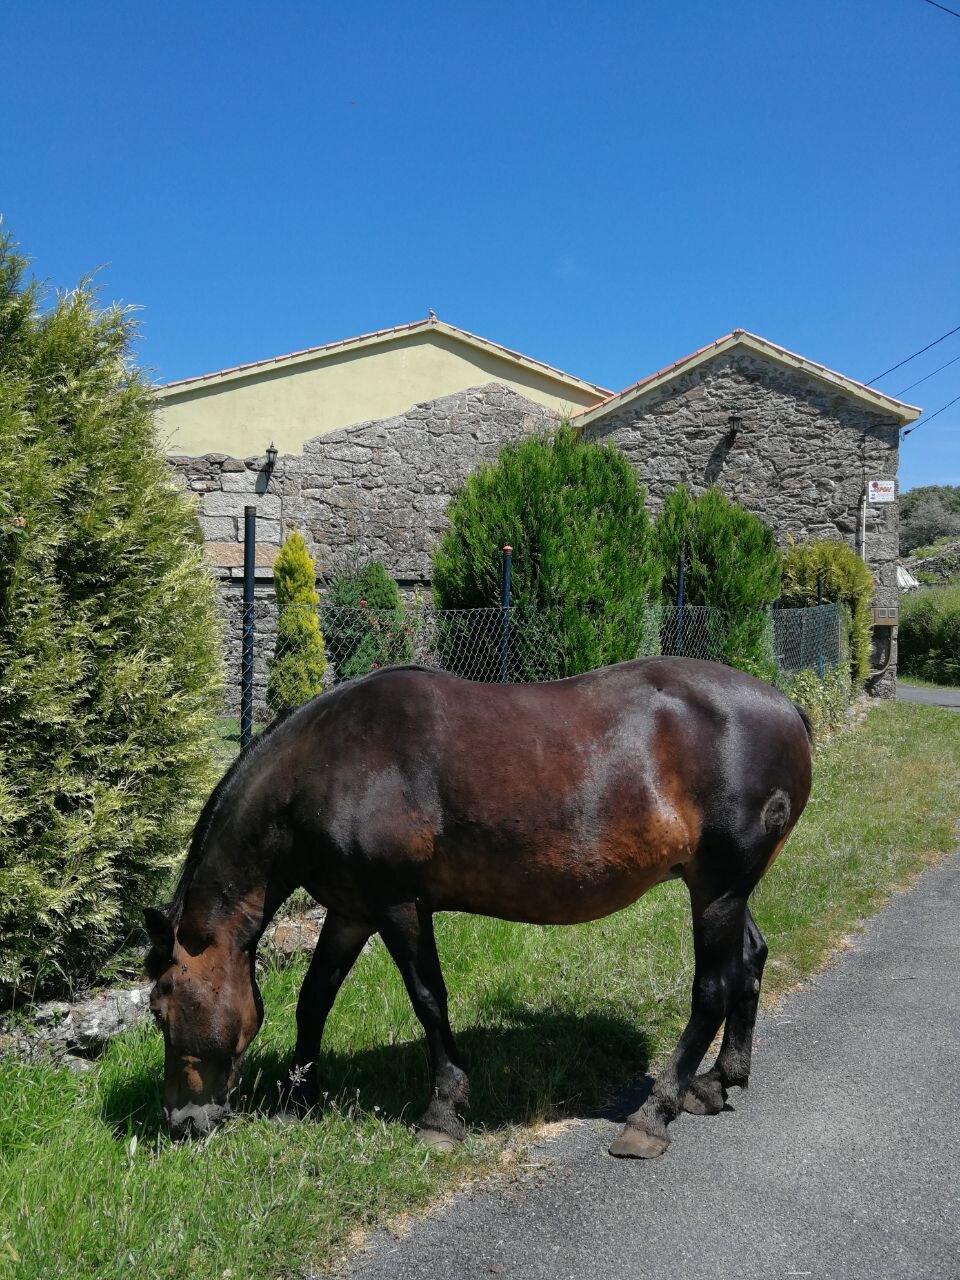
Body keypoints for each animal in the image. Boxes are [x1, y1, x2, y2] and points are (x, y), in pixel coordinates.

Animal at [144, 660, 814, 1162]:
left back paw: (655, 1114)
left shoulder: (397, 904)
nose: (182, 1121)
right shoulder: (351, 910)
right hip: (725, 890)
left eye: (159, 1007)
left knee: (713, 987)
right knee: (751, 960)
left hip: (718, 889)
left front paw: (442, 1111)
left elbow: (428, 999)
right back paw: (719, 1080)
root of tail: (787, 709)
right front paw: (301, 1096)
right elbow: (315, 998)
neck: (330, 763)